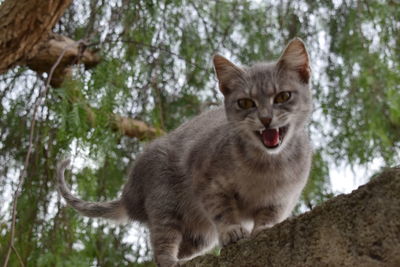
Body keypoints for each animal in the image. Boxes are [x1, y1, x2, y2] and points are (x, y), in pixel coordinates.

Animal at [56, 37, 312, 267]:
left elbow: (268, 216)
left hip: (200, 236)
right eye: (246, 103)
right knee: (161, 248)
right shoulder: (206, 183)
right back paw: (172, 261)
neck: (264, 166)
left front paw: (263, 229)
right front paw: (232, 230)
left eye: (283, 96)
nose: (266, 119)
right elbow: (223, 211)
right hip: (164, 204)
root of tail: (128, 195)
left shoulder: (282, 199)